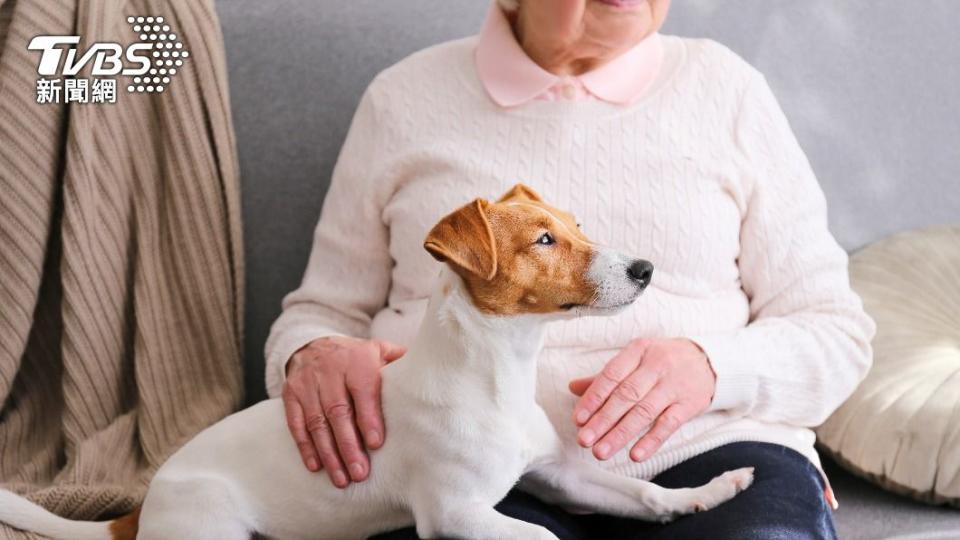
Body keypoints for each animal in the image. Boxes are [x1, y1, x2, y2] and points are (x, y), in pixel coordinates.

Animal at [0, 185, 752, 540]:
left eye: (578, 227)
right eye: (543, 239)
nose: (646, 268)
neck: (494, 376)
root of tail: (141, 507)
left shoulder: (558, 476)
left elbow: (640, 493)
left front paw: (708, 492)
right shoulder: (455, 514)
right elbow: (542, 535)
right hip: (214, 524)